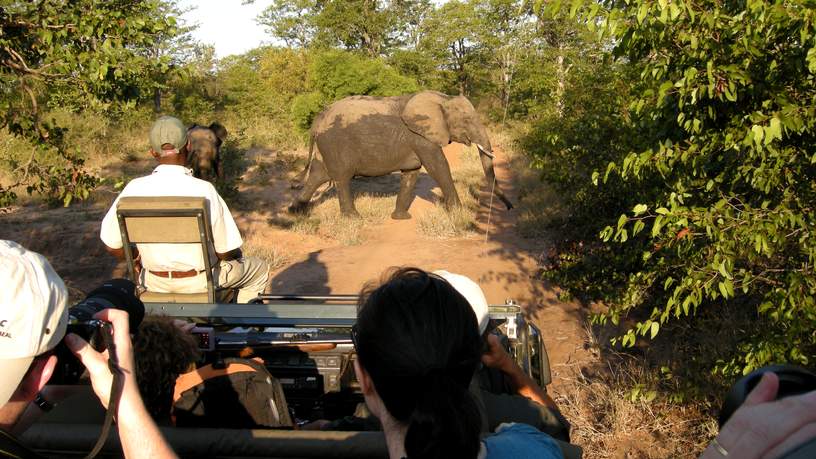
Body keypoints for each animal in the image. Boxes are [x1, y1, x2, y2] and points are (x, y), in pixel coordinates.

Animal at [290, 90, 512, 220]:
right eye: (466, 120)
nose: (510, 208)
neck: (443, 99)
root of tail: (319, 118)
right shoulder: (422, 137)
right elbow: (438, 167)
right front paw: (459, 213)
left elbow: (412, 173)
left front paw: (400, 217)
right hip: (336, 143)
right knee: (341, 177)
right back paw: (353, 218)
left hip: (326, 145)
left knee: (318, 175)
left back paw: (295, 213)